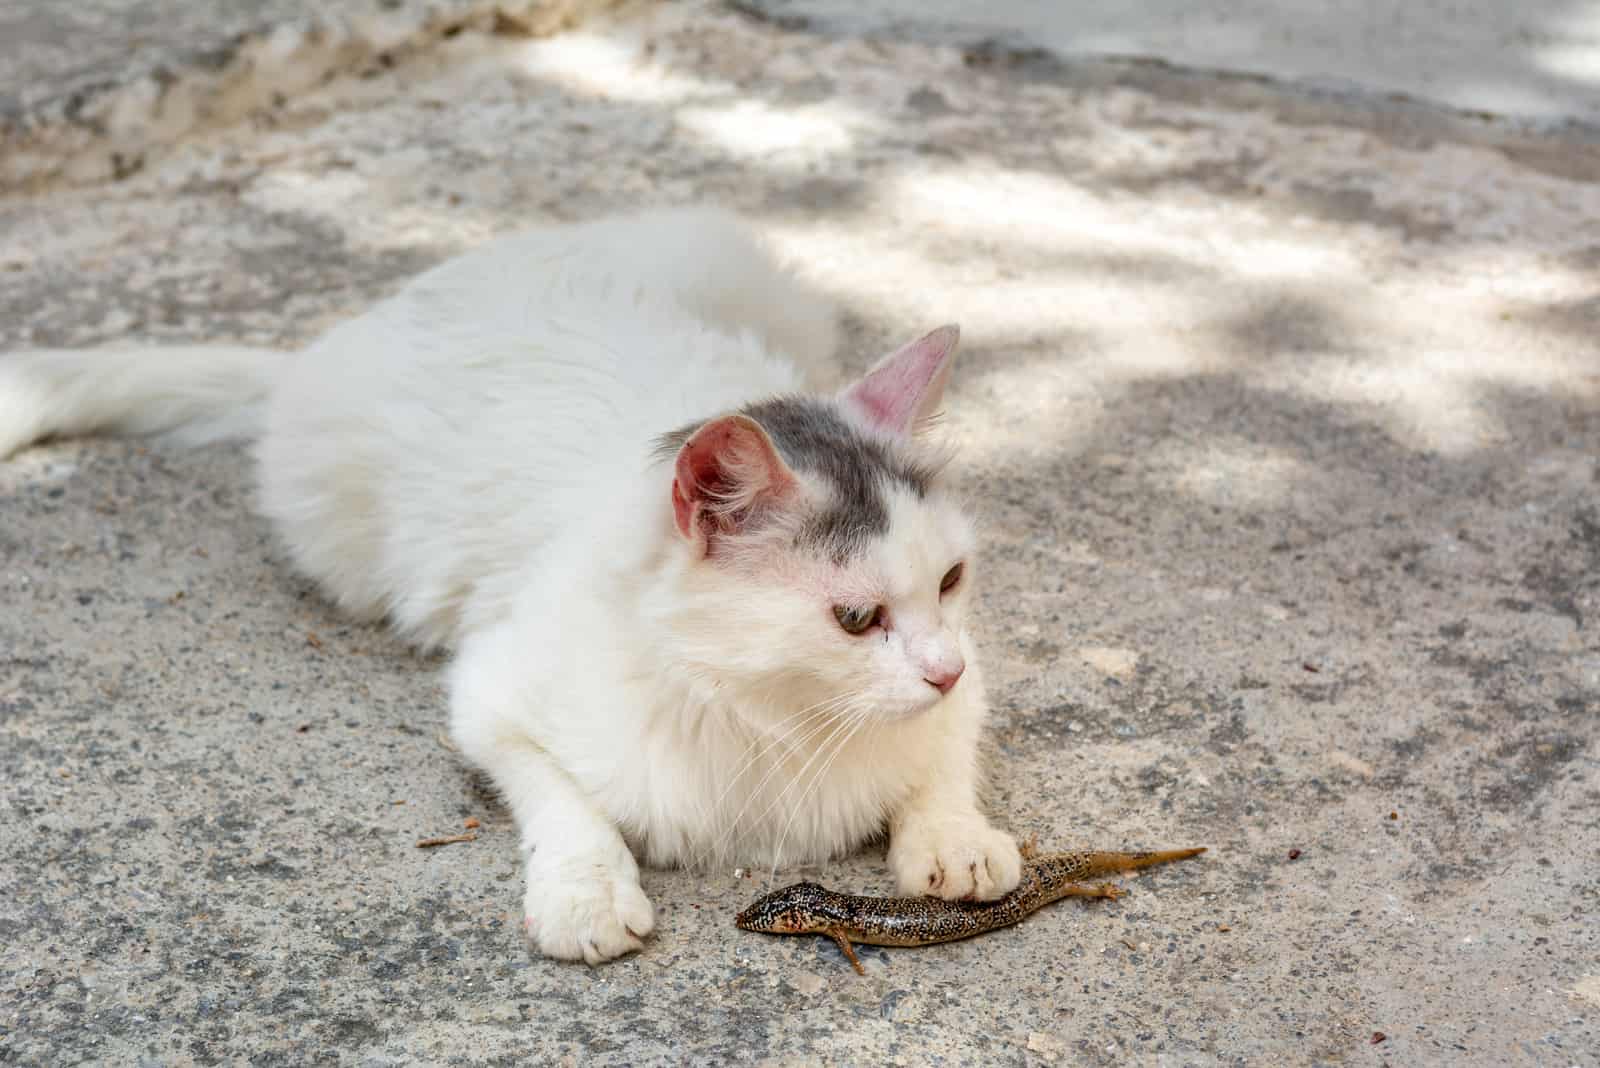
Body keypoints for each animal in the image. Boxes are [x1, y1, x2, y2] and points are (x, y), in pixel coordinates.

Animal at [0, 207, 1017, 965]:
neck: (776, 714)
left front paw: (954, 840)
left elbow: (946, 752)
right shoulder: (490, 692)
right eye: (856, 618)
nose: (941, 670)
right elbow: (558, 794)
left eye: (951, 579)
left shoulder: (969, 672)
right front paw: (585, 889)